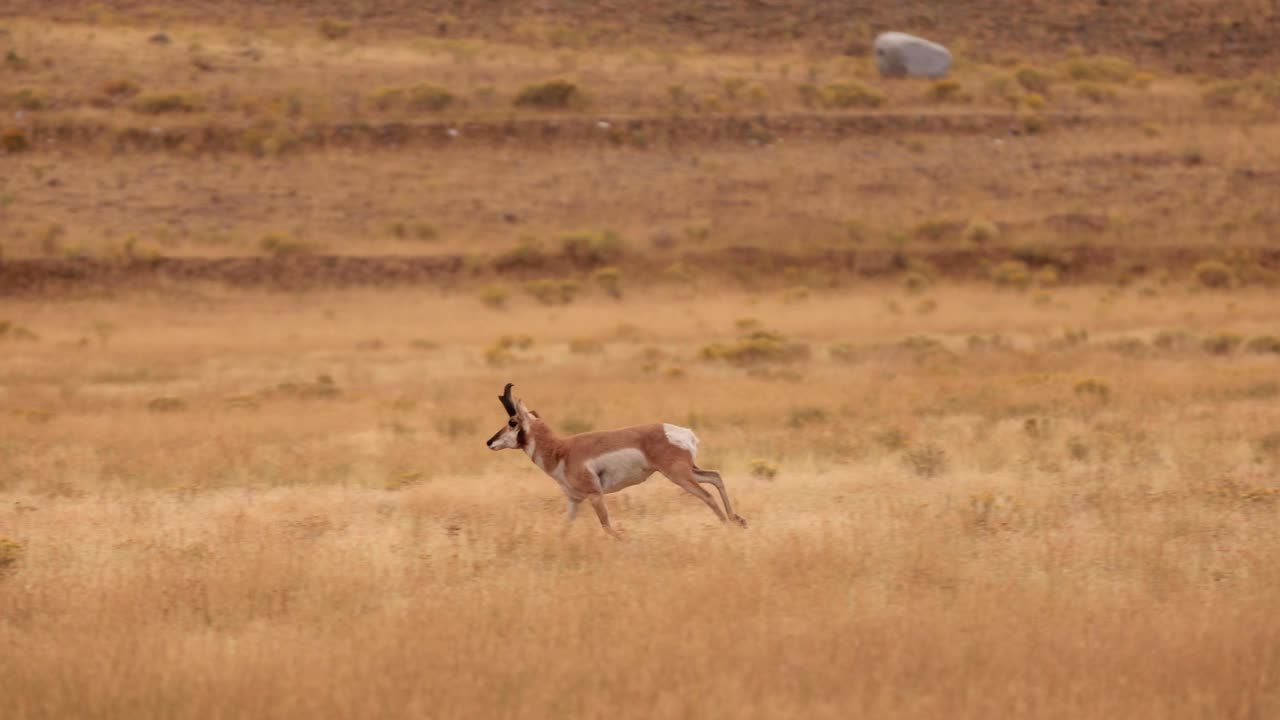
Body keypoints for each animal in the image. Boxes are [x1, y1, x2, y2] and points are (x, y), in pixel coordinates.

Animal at [488, 381, 747, 532]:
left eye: (512, 422)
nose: (489, 442)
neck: (562, 449)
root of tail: (683, 433)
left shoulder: (595, 496)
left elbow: (608, 527)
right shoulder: (574, 501)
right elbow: (563, 530)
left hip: (679, 476)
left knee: (707, 495)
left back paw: (728, 525)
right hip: (689, 471)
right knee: (715, 476)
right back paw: (738, 520)